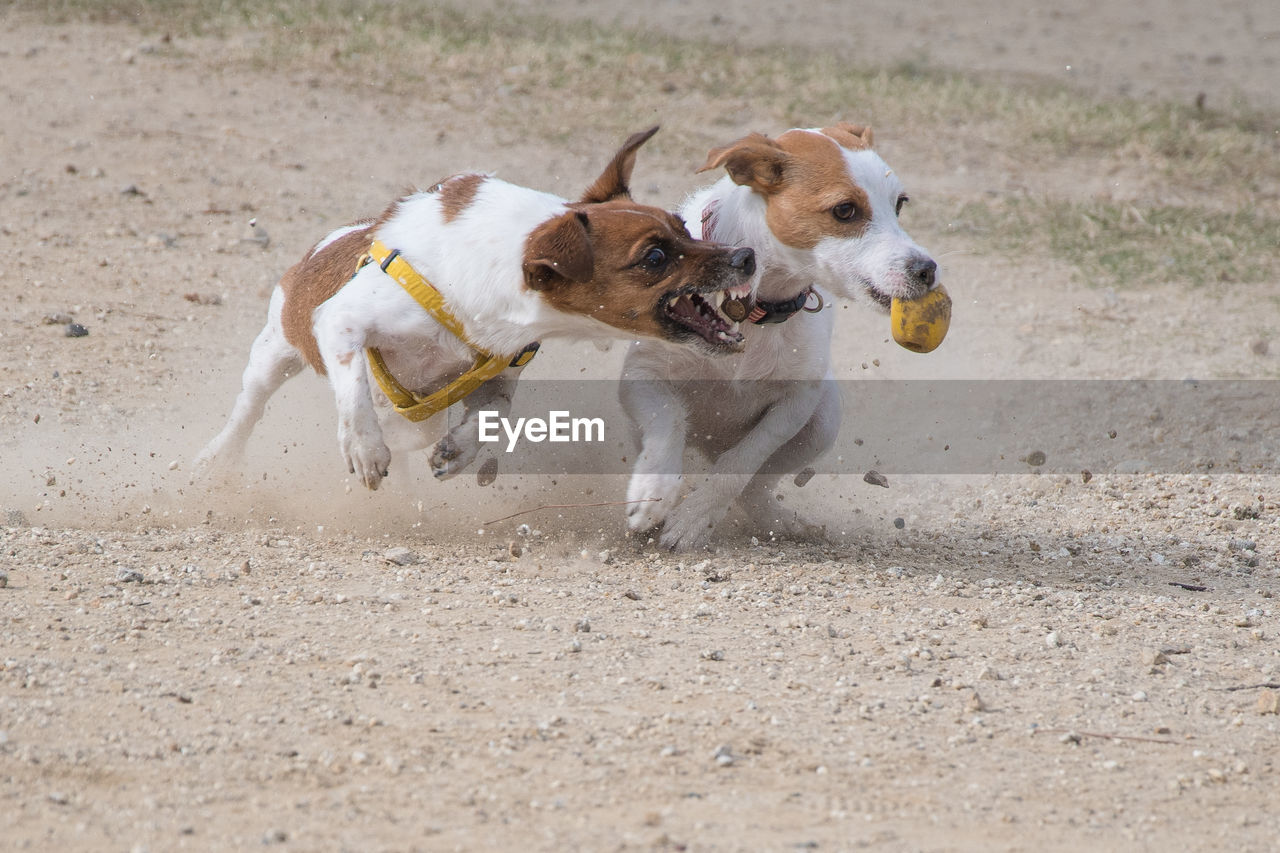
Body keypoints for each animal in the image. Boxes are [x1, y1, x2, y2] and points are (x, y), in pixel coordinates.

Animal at [192, 122, 757, 489]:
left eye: (685, 228)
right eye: (655, 257)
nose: (747, 255)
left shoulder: (503, 366)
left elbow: (494, 412)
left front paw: (459, 449)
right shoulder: (343, 322)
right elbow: (356, 391)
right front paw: (367, 447)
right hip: (275, 351)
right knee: (250, 407)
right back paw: (220, 457)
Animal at [619, 122, 942, 548]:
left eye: (900, 203)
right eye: (845, 210)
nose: (928, 269)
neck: (749, 305)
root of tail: (708, 445)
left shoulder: (795, 403)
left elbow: (742, 462)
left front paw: (694, 517)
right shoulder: (643, 377)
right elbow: (669, 421)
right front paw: (653, 492)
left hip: (822, 423)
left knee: (754, 488)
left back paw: (780, 520)